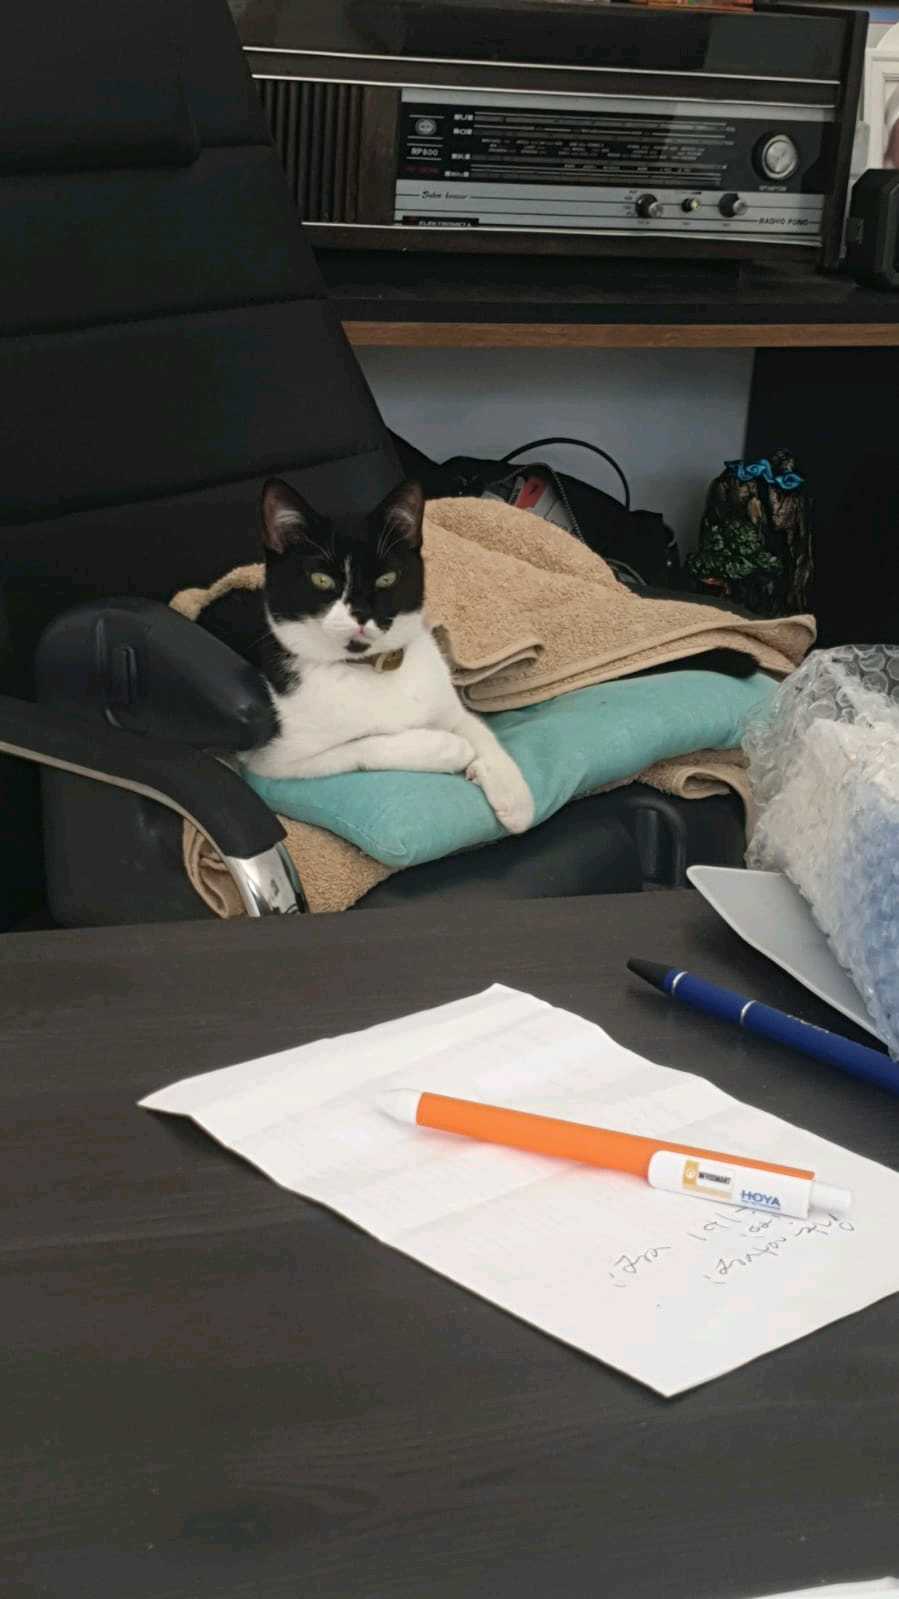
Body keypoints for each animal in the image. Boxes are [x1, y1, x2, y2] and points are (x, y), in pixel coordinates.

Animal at [198, 477, 535, 834]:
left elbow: (479, 730)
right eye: (321, 579)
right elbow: (365, 744)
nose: (360, 614)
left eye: (387, 578)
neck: (374, 667)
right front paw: (448, 747)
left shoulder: (445, 705)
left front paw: (515, 797)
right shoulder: (278, 760)